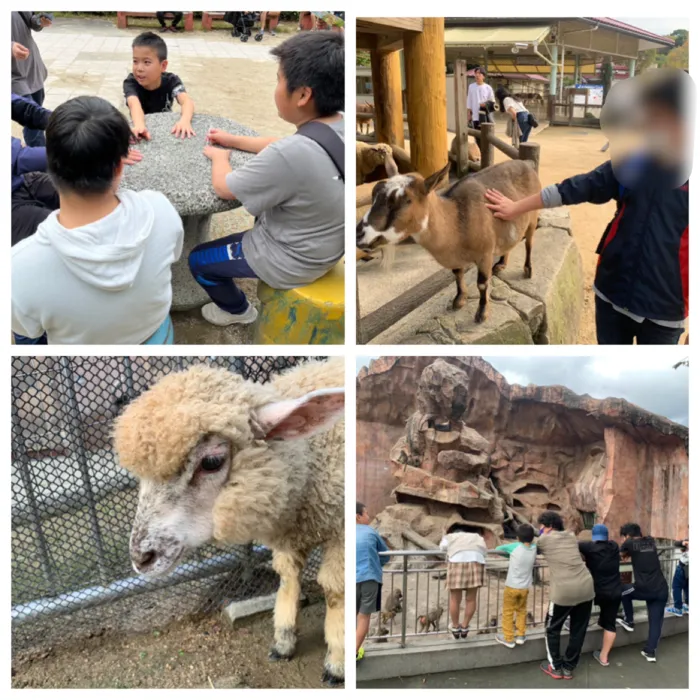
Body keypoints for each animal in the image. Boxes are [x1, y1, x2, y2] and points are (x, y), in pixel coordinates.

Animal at [110, 358, 348, 688]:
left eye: (211, 462)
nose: (141, 558)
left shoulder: (342, 530)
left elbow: (336, 591)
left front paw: (337, 661)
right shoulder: (291, 531)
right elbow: (288, 576)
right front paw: (283, 640)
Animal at [356, 153, 540, 322]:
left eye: (405, 200)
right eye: (373, 194)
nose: (359, 235)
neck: (456, 221)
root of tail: (527, 163)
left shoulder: (485, 253)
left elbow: (482, 283)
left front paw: (481, 314)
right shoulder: (455, 256)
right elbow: (457, 274)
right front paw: (459, 300)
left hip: (532, 216)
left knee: (530, 242)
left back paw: (527, 270)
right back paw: (501, 264)